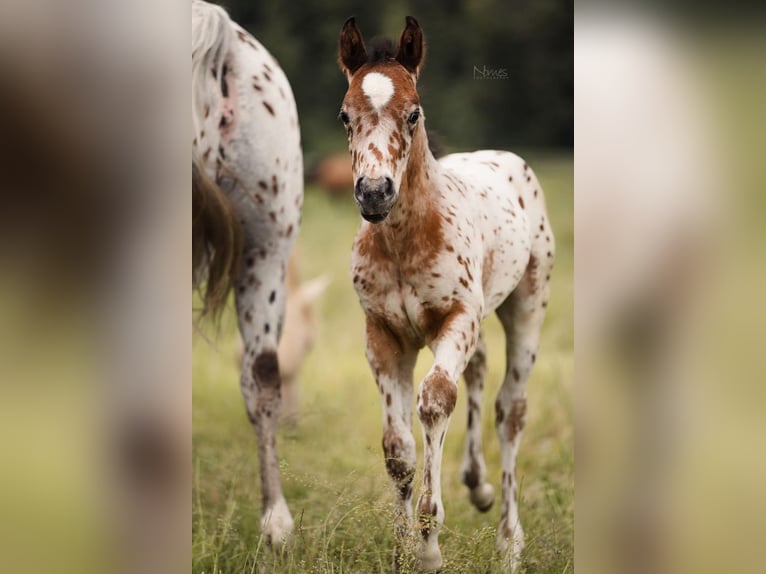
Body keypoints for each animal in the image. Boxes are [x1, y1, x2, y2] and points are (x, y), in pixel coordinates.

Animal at [340, 15, 556, 572]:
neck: (404, 242)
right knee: (478, 372)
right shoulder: (383, 336)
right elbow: (397, 448)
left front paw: (429, 545)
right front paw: (400, 551)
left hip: (528, 305)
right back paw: (477, 485)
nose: (375, 193)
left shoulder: (456, 318)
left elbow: (437, 400)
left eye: (413, 114)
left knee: (510, 410)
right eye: (345, 116)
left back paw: (509, 540)